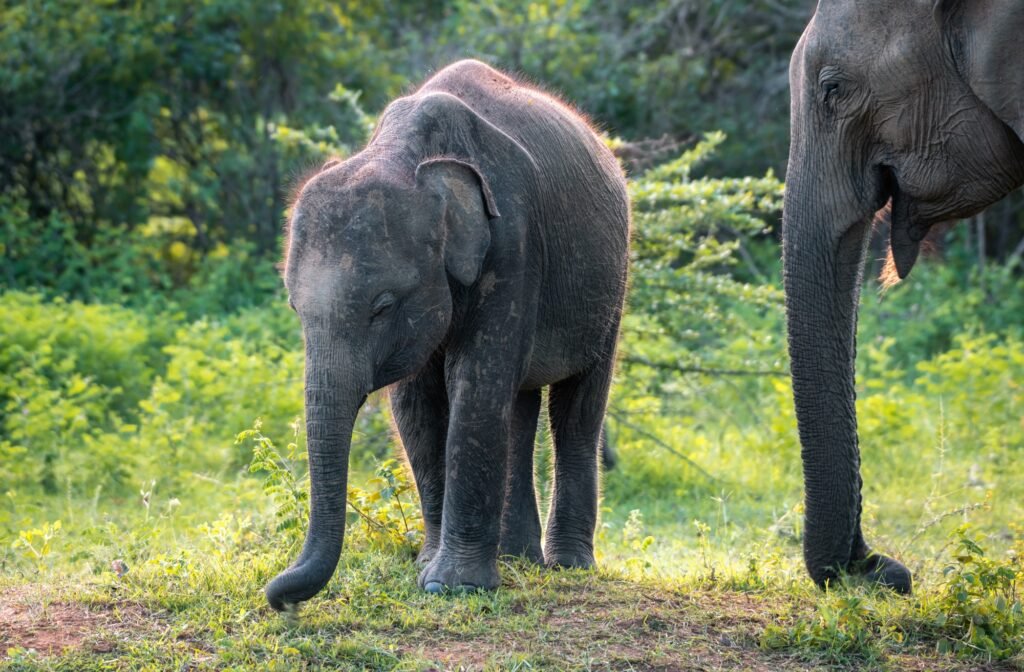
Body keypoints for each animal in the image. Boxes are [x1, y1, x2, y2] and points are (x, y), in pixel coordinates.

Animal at [267, 60, 630, 611]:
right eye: (294, 307)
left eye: (382, 307)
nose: (279, 598)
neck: (407, 157)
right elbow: (415, 406)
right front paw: (426, 567)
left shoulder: (513, 244)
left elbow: (474, 386)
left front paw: (451, 586)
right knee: (519, 407)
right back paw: (519, 558)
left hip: (612, 285)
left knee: (576, 409)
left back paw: (568, 566)